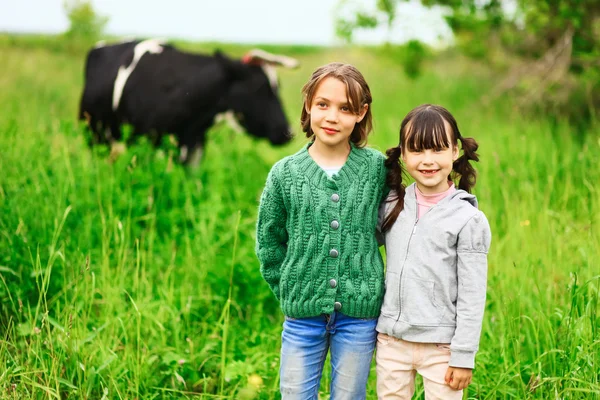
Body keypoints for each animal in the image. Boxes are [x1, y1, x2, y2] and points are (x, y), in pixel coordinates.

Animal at [78, 38, 298, 166]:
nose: (287, 132)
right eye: (259, 89)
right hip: (94, 135)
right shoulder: (144, 142)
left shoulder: (195, 146)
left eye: (277, 87)